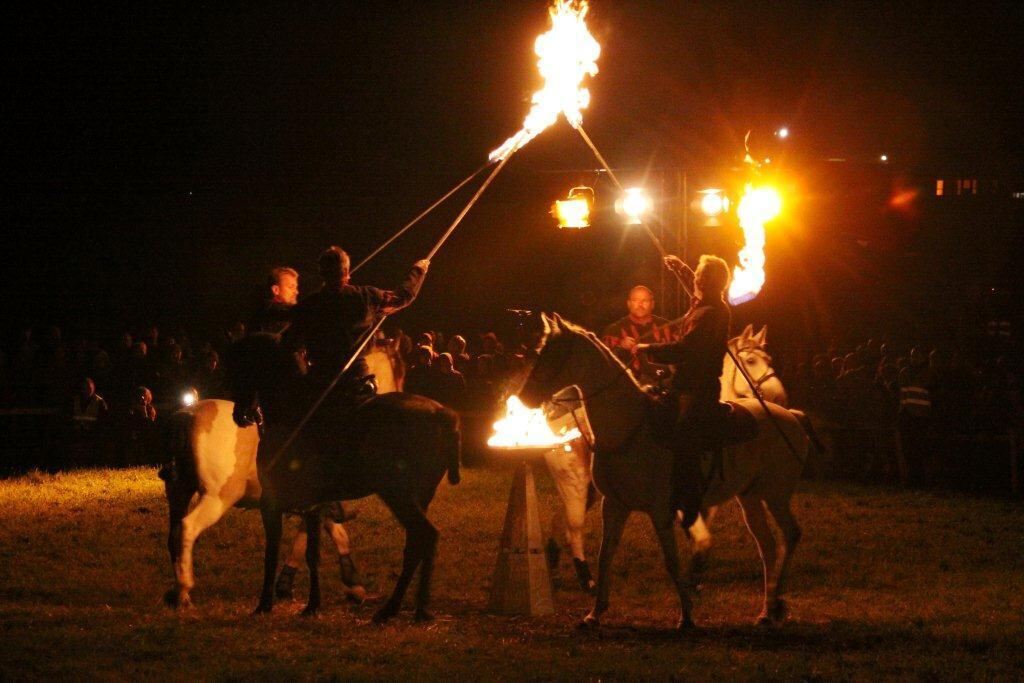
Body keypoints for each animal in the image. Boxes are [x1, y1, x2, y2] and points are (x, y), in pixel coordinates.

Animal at [520, 315, 806, 630]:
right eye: (752, 360)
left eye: (553, 353)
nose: (524, 397)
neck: (631, 426)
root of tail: (792, 417)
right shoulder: (615, 505)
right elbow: (606, 555)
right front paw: (594, 613)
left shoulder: (661, 510)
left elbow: (674, 559)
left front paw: (687, 613)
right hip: (750, 497)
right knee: (768, 545)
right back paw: (768, 609)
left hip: (773, 495)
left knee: (789, 535)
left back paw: (774, 605)